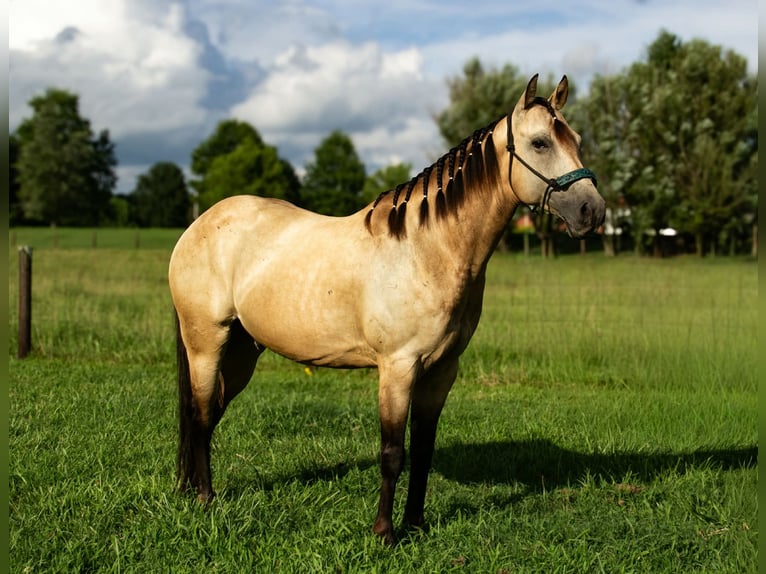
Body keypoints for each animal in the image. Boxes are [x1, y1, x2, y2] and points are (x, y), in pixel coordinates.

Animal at [169, 74, 605, 545]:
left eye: (577, 140)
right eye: (540, 142)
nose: (593, 211)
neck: (427, 250)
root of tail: (198, 226)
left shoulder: (441, 370)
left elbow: (424, 449)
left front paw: (416, 523)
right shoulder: (398, 367)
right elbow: (393, 451)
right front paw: (385, 533)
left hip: (242, 351)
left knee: (208, 414)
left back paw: (190, 489)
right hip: (206, 344)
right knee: (200, 413)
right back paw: (205, 498)